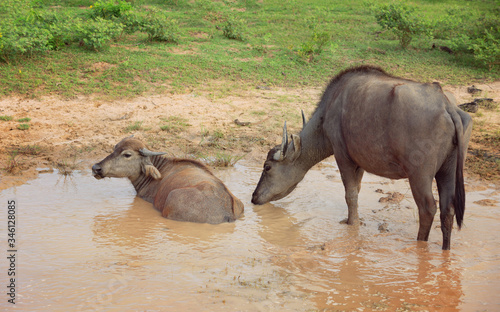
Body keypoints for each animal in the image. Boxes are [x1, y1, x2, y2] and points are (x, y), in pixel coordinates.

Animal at [254, 66, 472, 251]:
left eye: (267, 167)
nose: (254, 197)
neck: (331, 107)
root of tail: (446, 106)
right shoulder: (359, 163)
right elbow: (356, 191)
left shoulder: (343, 157)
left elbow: (350, 194)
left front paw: (351, 224)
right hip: (447, 171)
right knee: (447, 210)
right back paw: (445, 250)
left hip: (420, 175)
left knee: (428, 208)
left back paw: (420, 243)